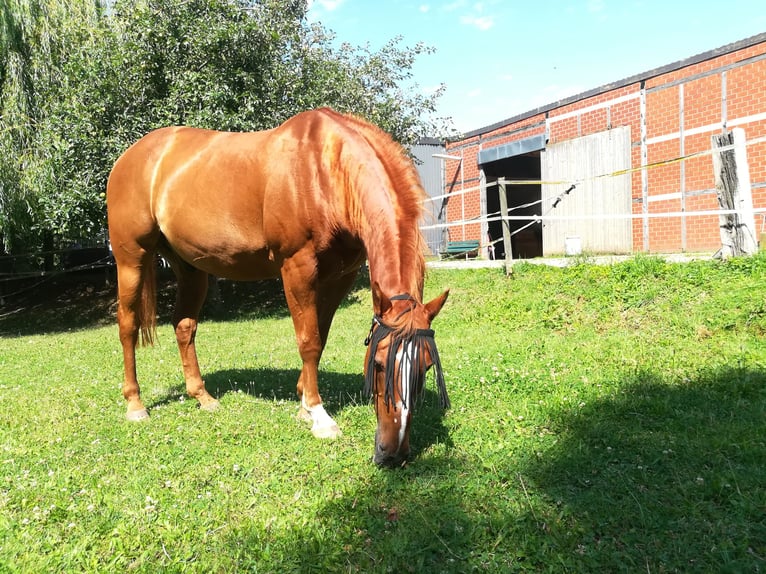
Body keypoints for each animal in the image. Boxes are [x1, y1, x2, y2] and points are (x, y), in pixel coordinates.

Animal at [106, 109, 450, 468]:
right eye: (380, 363)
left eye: (425, 366)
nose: (393, 454)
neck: (325, 168)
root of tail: (129, 157)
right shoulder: (297, 267)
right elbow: (309, 341)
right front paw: (319, 416)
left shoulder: (340, 276)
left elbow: (320, 337)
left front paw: (303, 405)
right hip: (131, 259)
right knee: (128, 325)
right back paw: (135, 404)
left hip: (190, 267)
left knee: (184, 326)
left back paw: (203, 397)